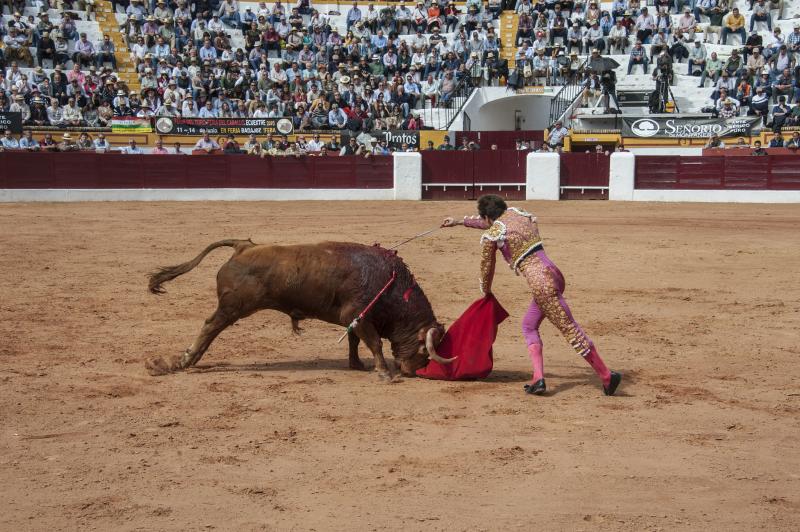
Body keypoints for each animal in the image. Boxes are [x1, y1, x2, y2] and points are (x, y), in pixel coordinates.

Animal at [146, 239, 454, 380]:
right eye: (426, 350)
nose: (412, 371)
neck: (391, 283)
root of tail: (243, 247)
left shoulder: (355, 319)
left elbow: (354, 342)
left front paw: (356, 365)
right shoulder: (358, 314)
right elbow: (375, 343)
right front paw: (384, 373)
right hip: (233, 308)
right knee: (210, 326)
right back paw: (185, 360)